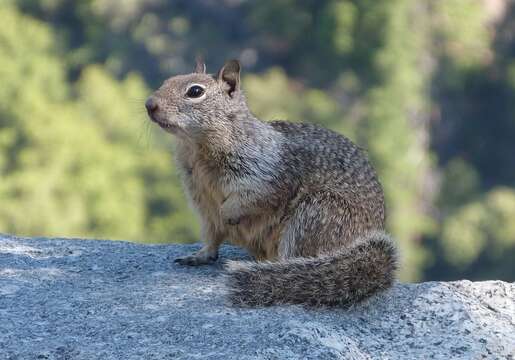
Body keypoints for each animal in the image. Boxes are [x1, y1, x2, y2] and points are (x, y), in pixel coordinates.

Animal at [145, 59, 400, 306]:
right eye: (168, 80)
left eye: (195, 91)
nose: (149, 104)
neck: (197, 149)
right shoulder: (202, 203)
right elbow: (211, 237)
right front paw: (199, 255)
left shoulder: (266, 176)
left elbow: (253, 199)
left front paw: (229, 214)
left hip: (315, 214)